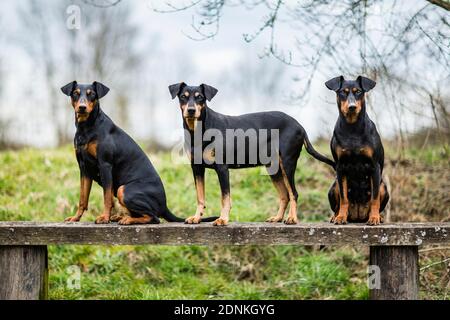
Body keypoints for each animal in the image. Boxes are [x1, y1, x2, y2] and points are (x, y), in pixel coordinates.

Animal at [61, 80, 216, 225]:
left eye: (91, 94)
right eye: (75, 93)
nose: (82, 107)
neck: (86, 127)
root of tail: (164, 206)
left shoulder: (105, 165)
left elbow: (106, 198)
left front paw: (105, 218)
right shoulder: (84, 168)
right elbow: (83, 198)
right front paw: (75, 218)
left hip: (123, 190)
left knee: (154, 217)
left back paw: (127, 219)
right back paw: (120, 217)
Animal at [168, 82, 334, 228]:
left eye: (200, 97)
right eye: (183, 96)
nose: (191, 110)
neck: (199, 130)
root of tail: (300, 126)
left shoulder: (222, 168)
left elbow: (225, 198)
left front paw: (223, 219)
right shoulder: (197, 168)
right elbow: (200, 197)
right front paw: (196, 218)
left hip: (287, 163)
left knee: (293, 193)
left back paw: (292, 218)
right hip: (273, 168)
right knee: (284, 195)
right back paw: (278, 218)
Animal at [324, 75, 390, 225]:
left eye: (358, 91)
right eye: (342, 92)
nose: (352, 107)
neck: (352, 128)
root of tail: (358, 216)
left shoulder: (374, 167)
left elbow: (375, 199)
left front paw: (374, 218)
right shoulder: (340, 167)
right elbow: (344, 198)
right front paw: (341, 217)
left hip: (383, 186)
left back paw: (378, 216)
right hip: (334, 186)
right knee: (337, 204)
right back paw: (335, 216)